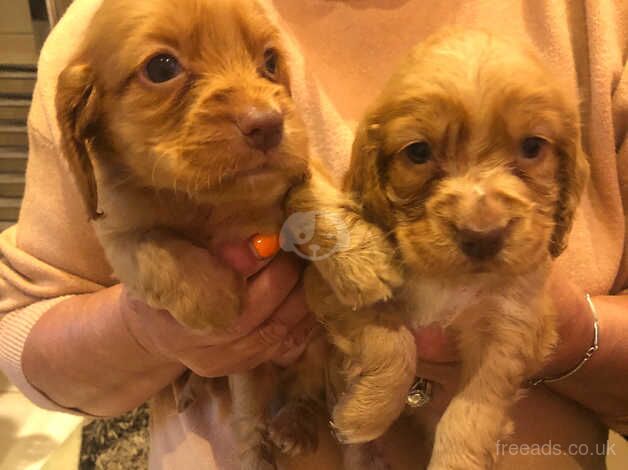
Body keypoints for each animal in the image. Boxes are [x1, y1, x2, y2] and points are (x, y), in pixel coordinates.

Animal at [54, 1, 398, 468]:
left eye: (270, 62)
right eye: (161, 68)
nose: (269, 125)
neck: (214, 202)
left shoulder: (298, 165)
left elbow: (310, 195)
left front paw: (361, 260)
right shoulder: (116, 231)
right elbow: (149, 247)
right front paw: (214, 297)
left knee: (306, 391)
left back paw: (296, 425)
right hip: (248, 381)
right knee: (250, 428)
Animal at [312, 30, 592, 470]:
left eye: (532, 147)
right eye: (418, 152)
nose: (482, 236)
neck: (448, 280)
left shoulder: (512, 323)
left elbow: (473, 408)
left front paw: (457, 459)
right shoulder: (346, 290)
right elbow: (394, 344)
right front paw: (365, 413)